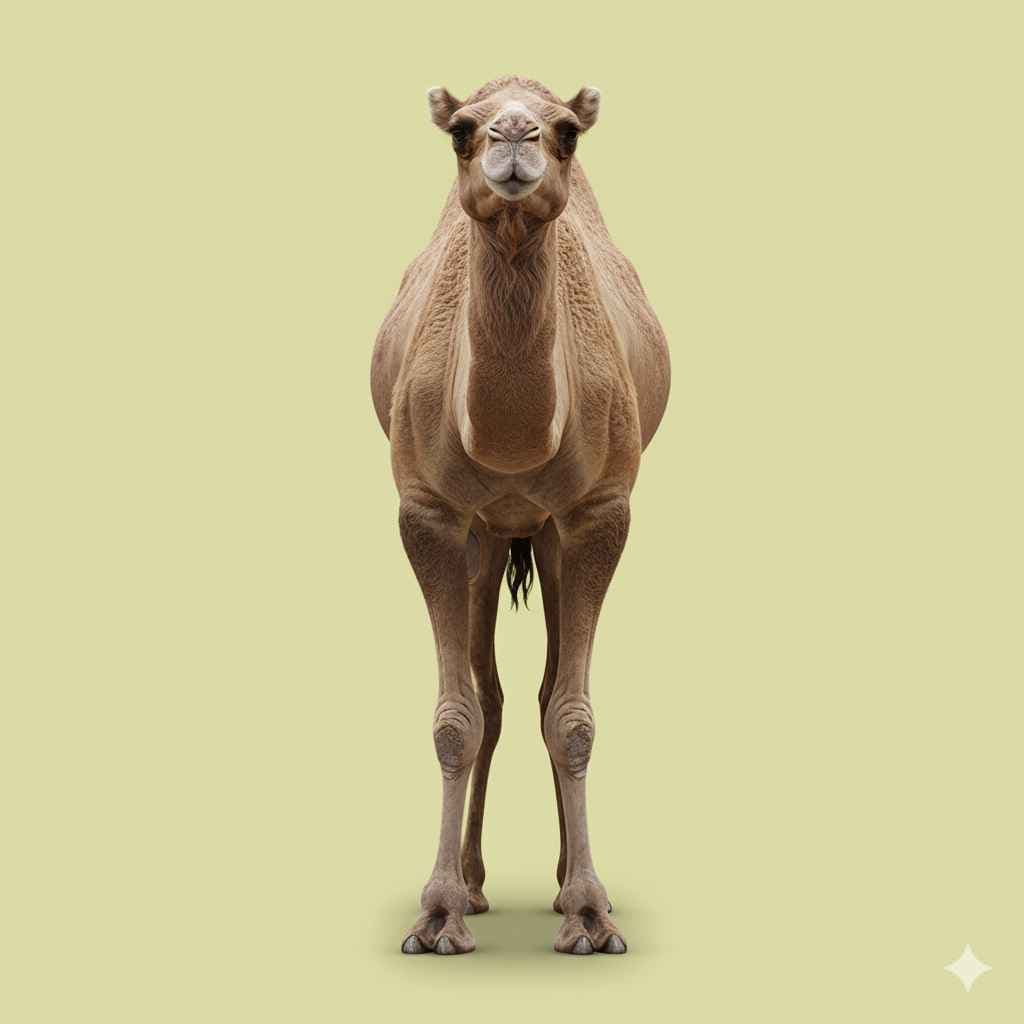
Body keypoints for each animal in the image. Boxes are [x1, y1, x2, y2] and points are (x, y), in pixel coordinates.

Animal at [370, 76, 670, 956]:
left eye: (567, 132)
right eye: (460, 131)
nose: (512, 136)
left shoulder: (600, 511)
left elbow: (571, 718)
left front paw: (591, 917)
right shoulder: (429, 513)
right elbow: (457, 717)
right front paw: (436, 915)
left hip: (545, 534)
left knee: (539, 696)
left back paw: (565, 881)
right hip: (486, 536)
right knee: (495, 698)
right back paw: (473, 886)